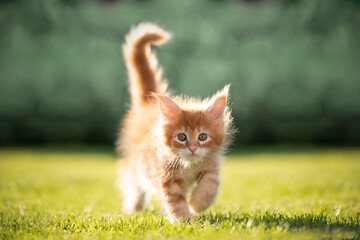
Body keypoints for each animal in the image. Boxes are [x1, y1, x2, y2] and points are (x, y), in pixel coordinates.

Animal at [116, 22, 233, 223]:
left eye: (203, 137)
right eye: (182, 136)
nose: (192, 148)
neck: (188, 165)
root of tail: (148, 103)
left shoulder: (211, 166)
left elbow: (210, 185)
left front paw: (196, 204)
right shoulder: (165, 177)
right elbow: (175, 202)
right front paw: (183, 221)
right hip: (135, 166)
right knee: (134, 185)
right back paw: (133, 207)